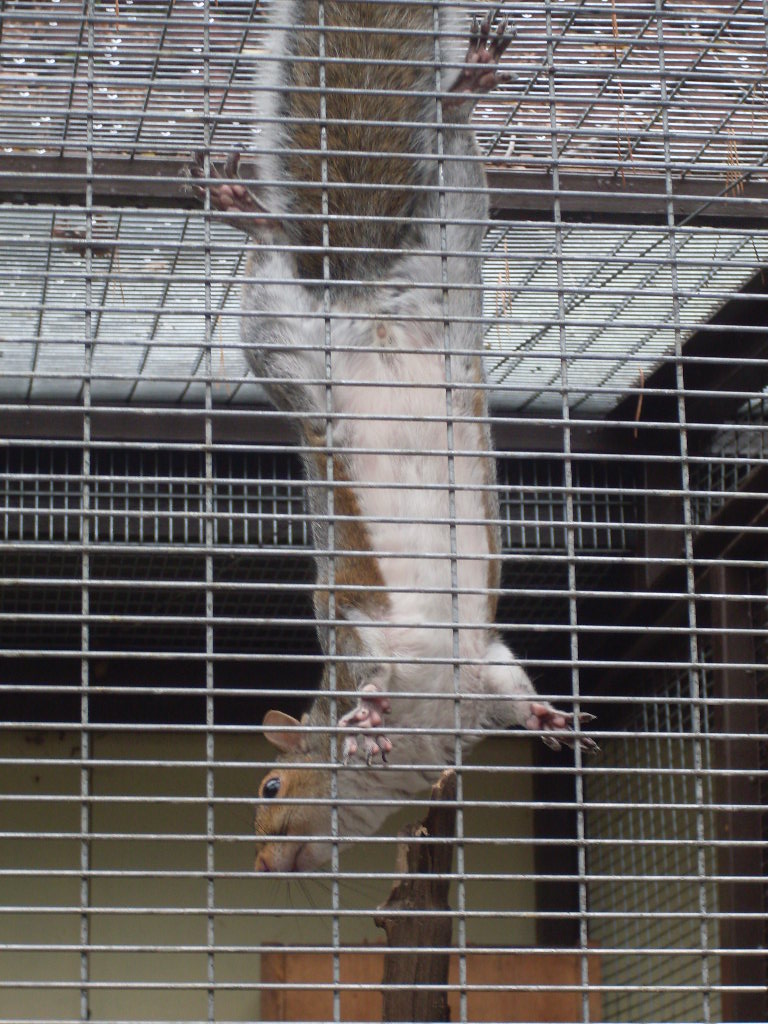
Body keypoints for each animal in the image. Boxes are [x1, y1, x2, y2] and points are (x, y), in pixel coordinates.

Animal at [187, 1, 596, 874]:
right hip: (407, 259)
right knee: (432, 166)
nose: (262, 865)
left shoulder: (403, 638)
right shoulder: (444, 657)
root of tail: (364, 292)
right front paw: (538, 719)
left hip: (325, 311)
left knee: (284, 257)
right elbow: (486, 683)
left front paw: (374, 719)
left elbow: (393, 664)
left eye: (270, 787)